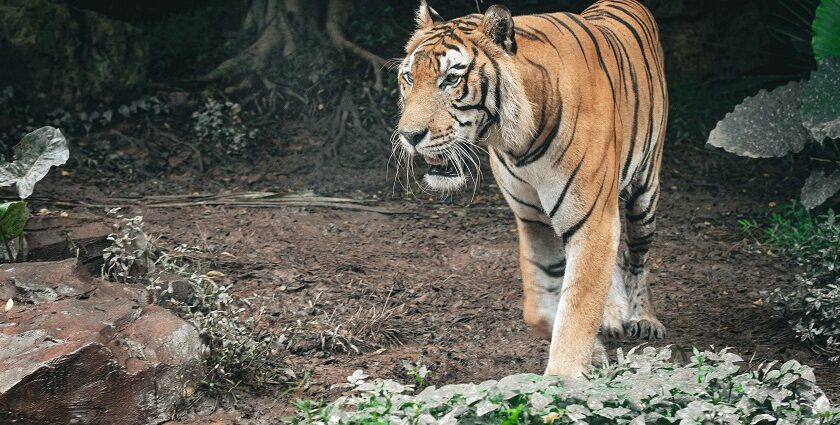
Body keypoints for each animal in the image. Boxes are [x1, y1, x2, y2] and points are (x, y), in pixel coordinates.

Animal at [394, 0, 668, 378]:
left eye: (451, 78)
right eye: (409, 77)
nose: (409, 136)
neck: (519, 140)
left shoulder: (590, 219)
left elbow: (577, 302)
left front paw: (565, 376)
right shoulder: (533, 219)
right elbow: (542, 308)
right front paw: (595, 352)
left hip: (645, 197)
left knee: (636, 258)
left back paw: (644, 318)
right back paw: (612, 316)